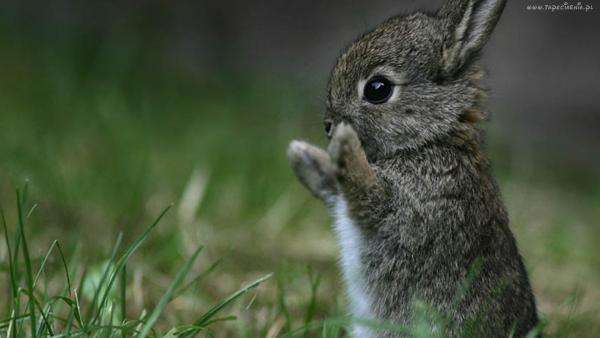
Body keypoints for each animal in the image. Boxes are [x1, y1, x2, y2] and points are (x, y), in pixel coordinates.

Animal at [286, 0, 540, 336]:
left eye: (377, 88)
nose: (329, 125)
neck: (429, 141)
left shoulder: (408, 207)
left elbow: (365, 193)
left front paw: (344, 143)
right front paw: (302, 155)